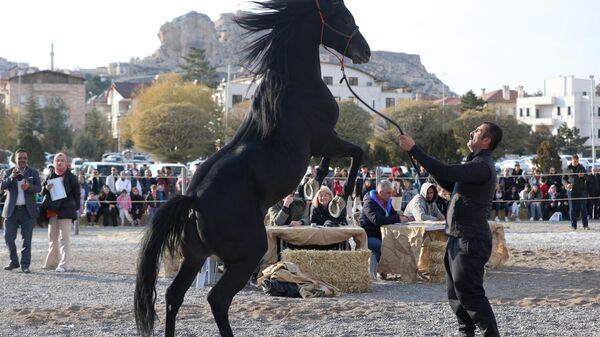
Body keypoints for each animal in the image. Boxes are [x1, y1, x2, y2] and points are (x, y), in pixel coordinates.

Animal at [135, 1, 370, 334]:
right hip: (246, 256)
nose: (366, 52)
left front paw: (316, 182)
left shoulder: (325, 142)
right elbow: (357, 153)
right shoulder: (324, 139)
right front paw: (341, 198)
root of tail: (193, 200)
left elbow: (335, 161)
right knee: (217, 299)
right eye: (345, 18)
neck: (295, 86)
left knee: (173, 295)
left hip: (195, 255)